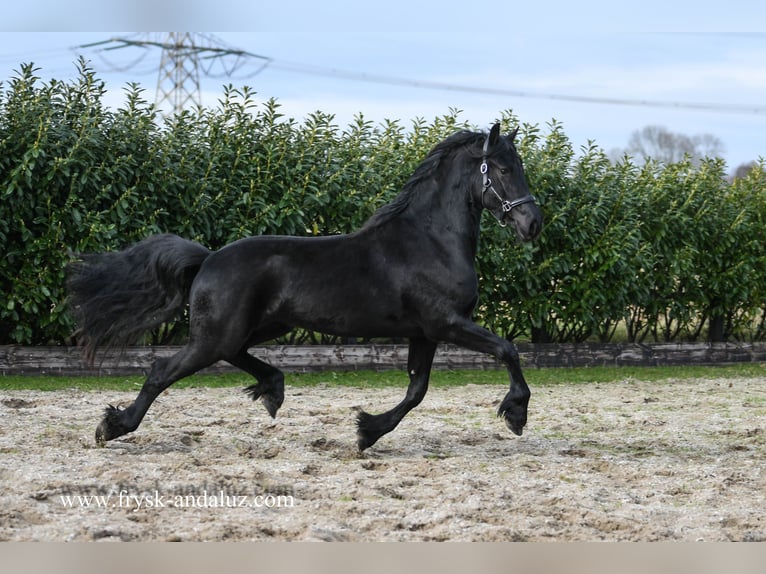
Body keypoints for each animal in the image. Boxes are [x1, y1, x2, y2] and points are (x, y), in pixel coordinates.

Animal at [67, 124, 544, 452]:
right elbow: (507, 350)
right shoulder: (446, 323)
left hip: (258, 327)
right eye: (504, 169)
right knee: (163, 370)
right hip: (219, 333)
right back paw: (113, 426)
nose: (532, 224)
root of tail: (209, 258)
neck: (429, 240)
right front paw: (516, 414)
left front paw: (367, 432)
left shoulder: (423, 333)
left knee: (235, 355)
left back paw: (273, 390)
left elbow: (416, 390)